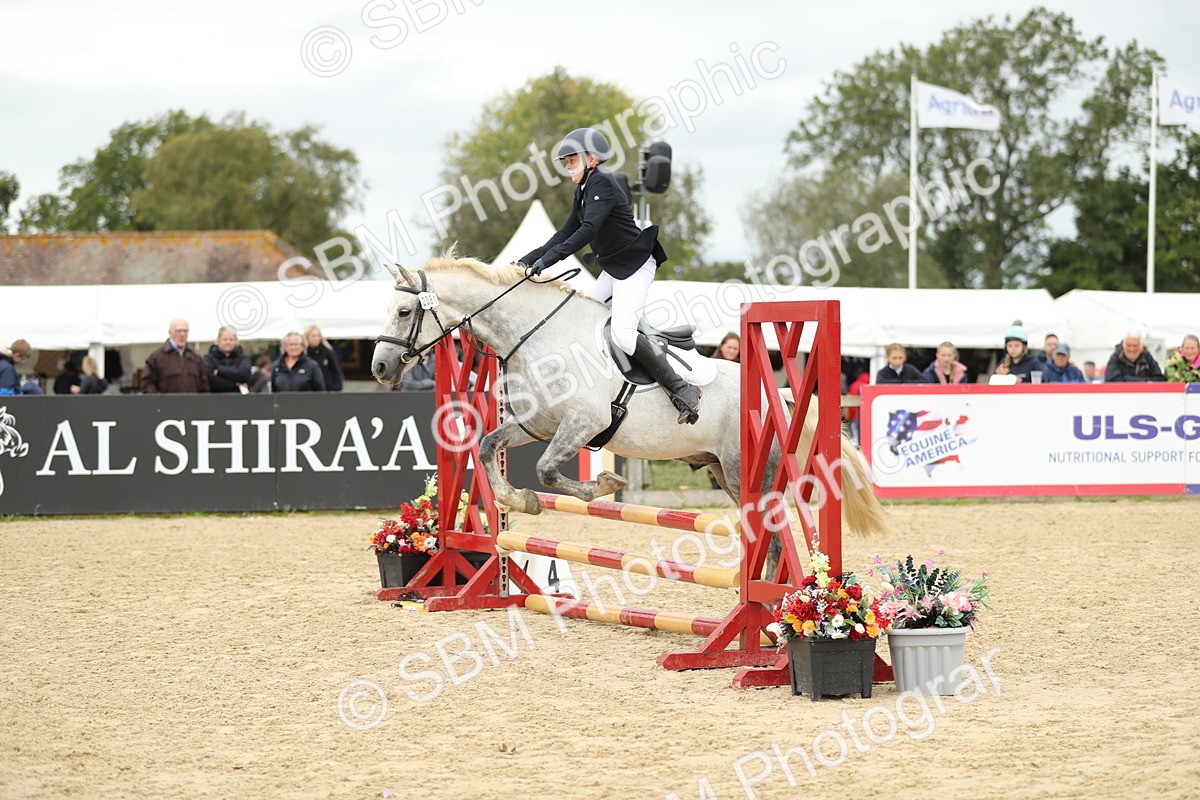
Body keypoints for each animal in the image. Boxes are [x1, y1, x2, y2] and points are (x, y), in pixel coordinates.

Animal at [370, 252, 888, 567]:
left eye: (403, 312)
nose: (379, 367)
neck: (537, 334)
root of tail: (780, 395)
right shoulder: (535, 425)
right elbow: (487, 446)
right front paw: (521, 501)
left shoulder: (582, 424)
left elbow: (547, 471)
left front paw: (603, 484)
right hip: (725, 474)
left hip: (749, 474)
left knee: (776, 541)